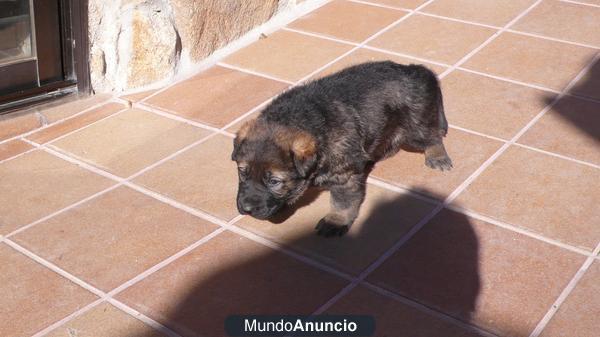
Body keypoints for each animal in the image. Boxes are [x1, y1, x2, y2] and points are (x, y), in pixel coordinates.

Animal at [230, 61, 450, 236]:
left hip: (414, 129)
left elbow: (342, 202)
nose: (246, 208)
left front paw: (336, 221)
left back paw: (437, 156)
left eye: (275, 181)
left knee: (432, 136)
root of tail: (413, 69)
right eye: (242, 173)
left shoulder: (345, 174)